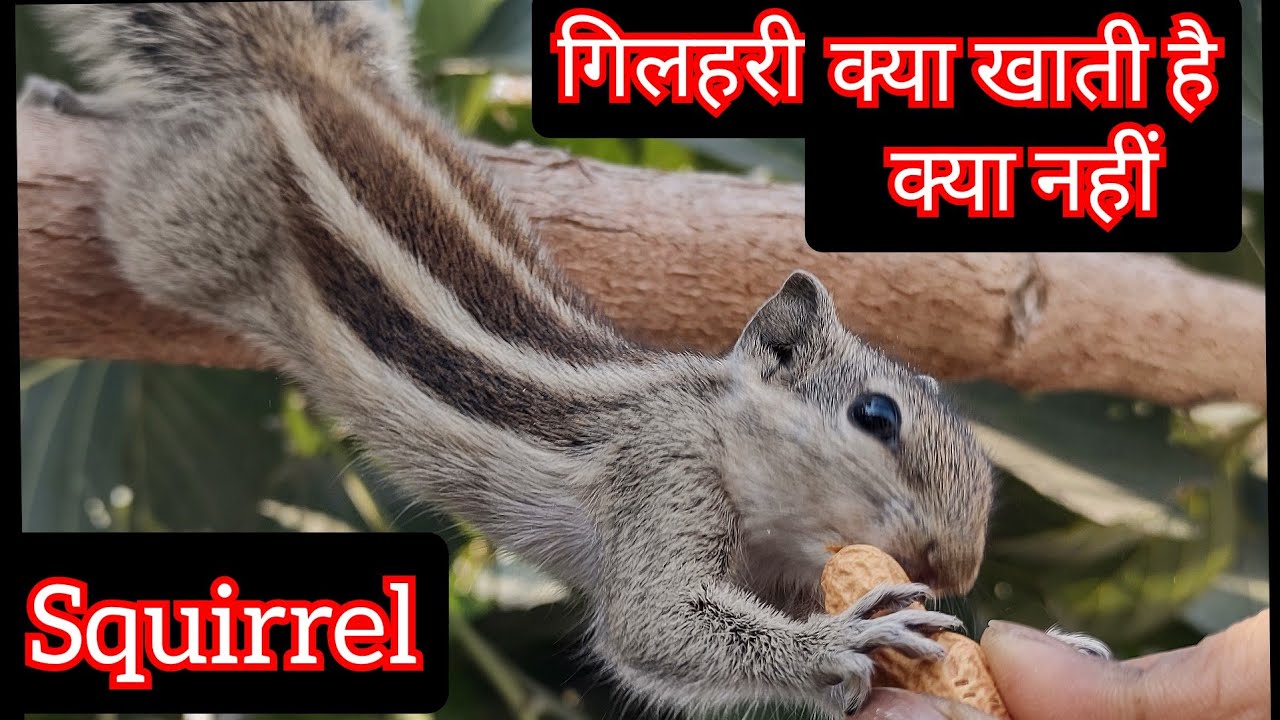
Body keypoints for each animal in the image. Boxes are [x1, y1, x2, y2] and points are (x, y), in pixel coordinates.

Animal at [25, 3, 1108, 717]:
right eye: (874, 417)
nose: (957, 566)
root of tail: (310, 78)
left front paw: (1054, 648)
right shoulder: (659, 478)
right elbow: (654, 626)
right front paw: (853, 635)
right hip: (191, 224)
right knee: (143, 175)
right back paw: (69, 103)